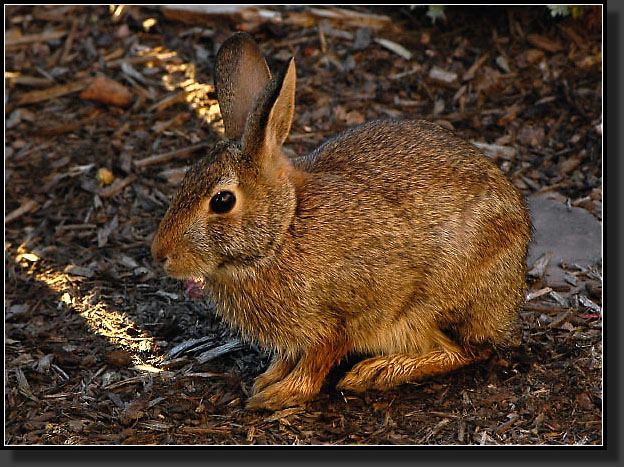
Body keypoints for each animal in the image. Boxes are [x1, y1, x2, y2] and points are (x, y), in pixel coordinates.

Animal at [151, 33, 532, 412]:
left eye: (222, 201)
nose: (160, 254)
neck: (284, 229)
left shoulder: (349, 316)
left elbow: (320, 357)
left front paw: (280, 395)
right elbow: (291, 356)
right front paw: (268, 379)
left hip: (435, 302)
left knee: (463, 351)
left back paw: (375, 373)